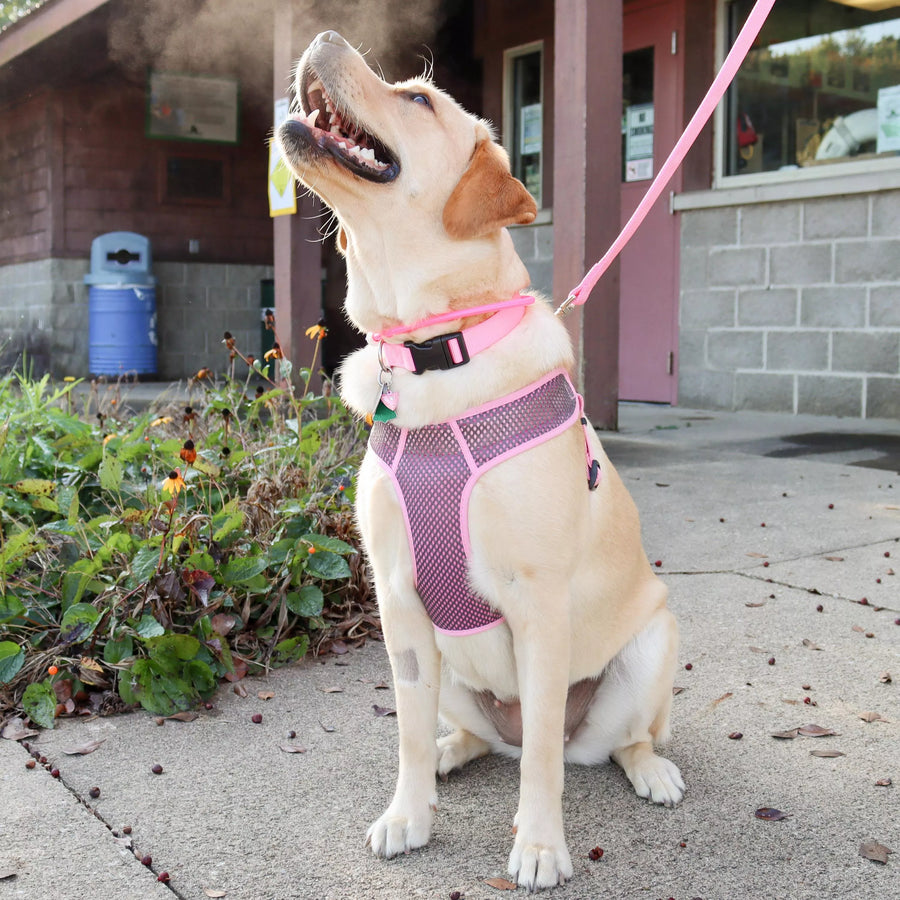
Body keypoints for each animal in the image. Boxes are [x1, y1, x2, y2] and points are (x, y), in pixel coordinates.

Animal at [276, 31, 684, 888]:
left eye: (418, 99)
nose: (322, 36)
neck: (434, 351)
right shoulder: (397, 601)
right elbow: (402, 729)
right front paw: (409, 813)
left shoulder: (539, 600)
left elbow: (542, 764)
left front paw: (539, 846)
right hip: (450, 670)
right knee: (480, 735)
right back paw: (449, 753)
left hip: (651, 647)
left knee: (597, 743)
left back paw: (649, 770)